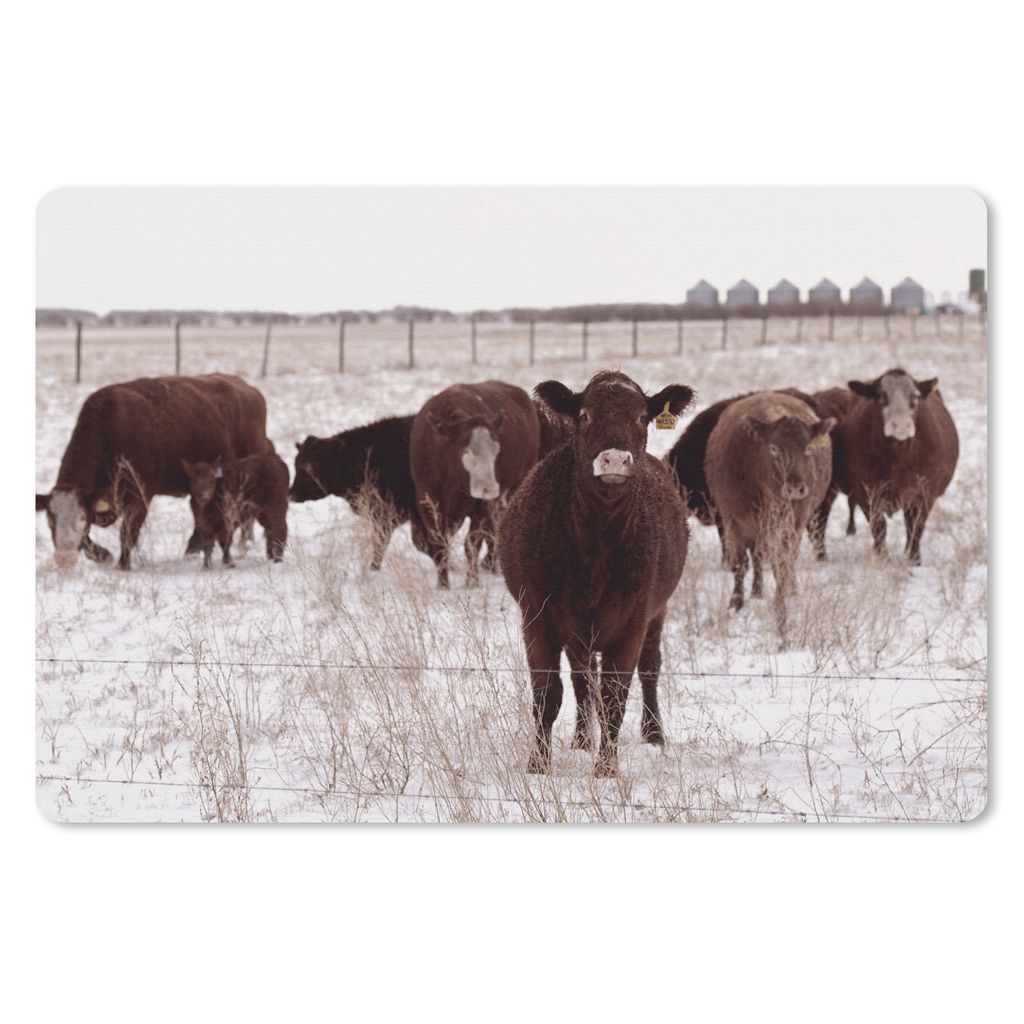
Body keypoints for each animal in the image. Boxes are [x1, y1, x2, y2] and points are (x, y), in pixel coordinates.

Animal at [37, 374, 272, 570]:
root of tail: (248, 389)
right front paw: (103, 555)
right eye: (50, 521)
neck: (109, 429)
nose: (64, 558)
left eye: (79, 519)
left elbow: (127, 534)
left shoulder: (139, 496)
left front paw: (122, 566)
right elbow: (87, 540)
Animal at [411, 381, 540, 588]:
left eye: (496, 449)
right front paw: (443, 585)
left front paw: (472, 582)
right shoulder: (427, 501)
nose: (490, 488)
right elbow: (439, 545)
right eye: (466, 451)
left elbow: (472, 544)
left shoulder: (483, 506)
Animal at [498, 370, 694, 777]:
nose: (615, 459)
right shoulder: (536, 615)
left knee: (649, 668)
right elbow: (547, 694)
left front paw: (606, 769)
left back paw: (654, 734)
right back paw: (581, 740)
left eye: (642, 417)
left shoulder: (634, 620)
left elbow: (614, 696)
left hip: (656, 614)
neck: (596, 543)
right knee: (581, 680)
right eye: (585, 415)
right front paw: (538, 765)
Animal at [705, 391, 836, 634]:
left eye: (808, 448)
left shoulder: (793, 522)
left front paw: (781, 603)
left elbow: (782, 563)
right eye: (774, 448)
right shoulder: (732, 519)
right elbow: (740, 564)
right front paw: (736, 603)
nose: (795, 488)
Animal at [823, 369, 958, 565]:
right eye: (880, 396)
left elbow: (915, 527)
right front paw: (883, 557)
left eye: (915, 397)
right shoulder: (868, 494)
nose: (900, 425)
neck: (897, 457)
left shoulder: (925, 493)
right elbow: (879, 527)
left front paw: (914, 560)